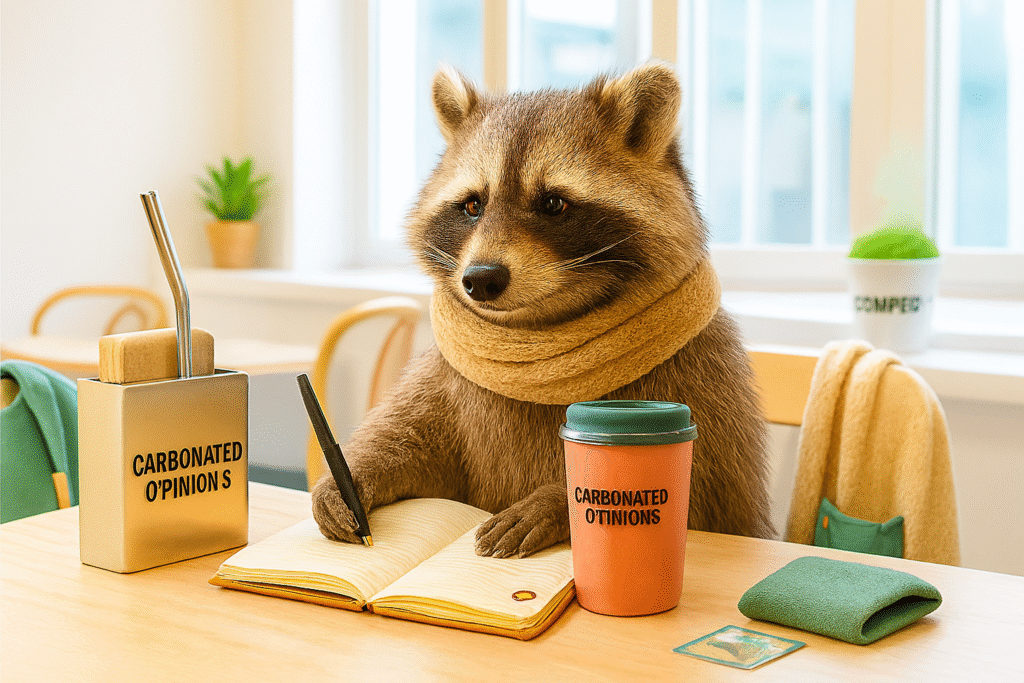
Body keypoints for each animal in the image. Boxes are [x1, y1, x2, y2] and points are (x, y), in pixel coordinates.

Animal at [312, 62, 774, 558]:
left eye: (553, 203)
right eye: (473, 204)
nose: (481, 279)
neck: (533, 331)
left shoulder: (705, 380)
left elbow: (703, 500)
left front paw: (554, 500)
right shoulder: (448, 381)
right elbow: (412, 445)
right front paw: (354, 472)